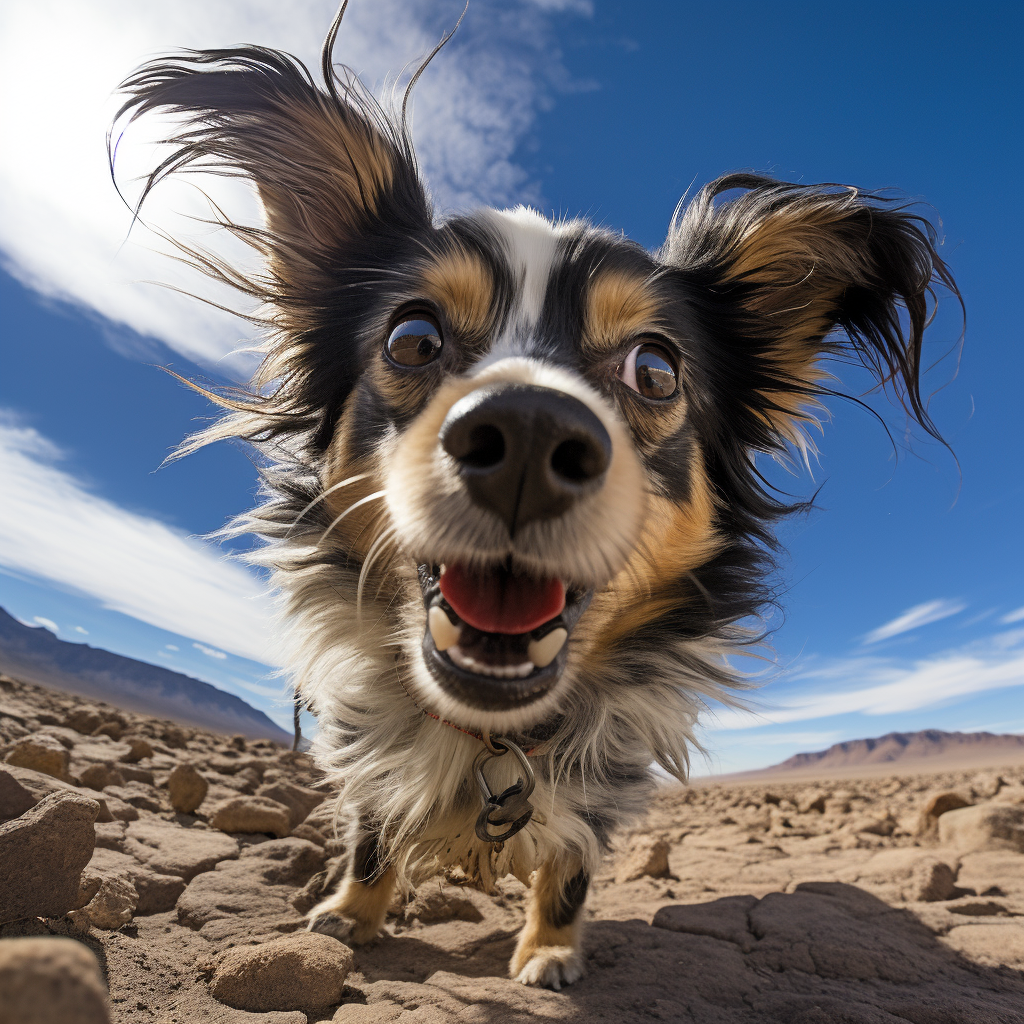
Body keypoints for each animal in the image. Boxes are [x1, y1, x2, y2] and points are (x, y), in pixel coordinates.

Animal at [117, 8, 958, 991]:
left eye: (656, 369)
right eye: (411, 338)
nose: (523, 435)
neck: (492, 736)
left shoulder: (598, 784)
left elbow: (567, 867)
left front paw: (550, 950)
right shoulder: (368, 752)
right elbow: (371, 834)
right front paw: (349, 914)